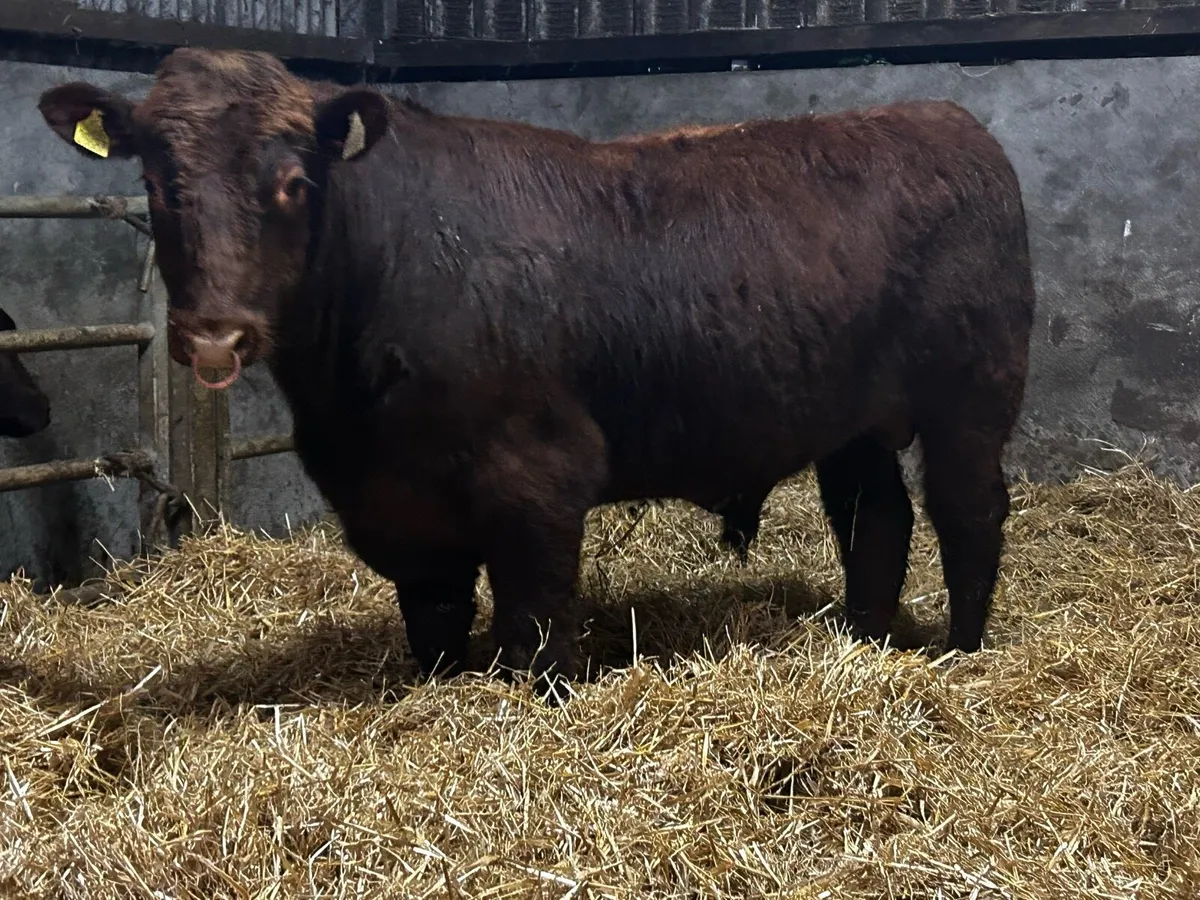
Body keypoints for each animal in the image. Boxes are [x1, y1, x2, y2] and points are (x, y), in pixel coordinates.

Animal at [38, 49, 1036, 701]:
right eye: (157, 183)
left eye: (292, 183)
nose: (216, 333)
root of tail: (946, 120)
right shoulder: (395, 503)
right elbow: (435, 620)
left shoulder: (537, 477)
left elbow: (536, 622)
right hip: (852, 420)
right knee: (876, 520)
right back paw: (863, 641)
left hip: (971, 395)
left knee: (966, 514)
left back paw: (960, 651)